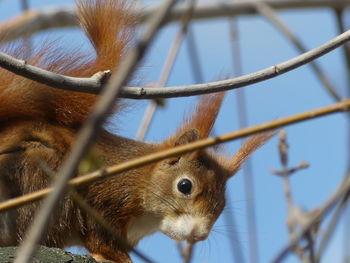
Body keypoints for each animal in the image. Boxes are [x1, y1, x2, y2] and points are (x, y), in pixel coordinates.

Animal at [0, 0, 274, 263]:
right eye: (185, 186)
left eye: (222, 202)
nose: (199, 234)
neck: (142, 178)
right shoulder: (103, 199)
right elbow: (101, 239)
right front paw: (116, 258)